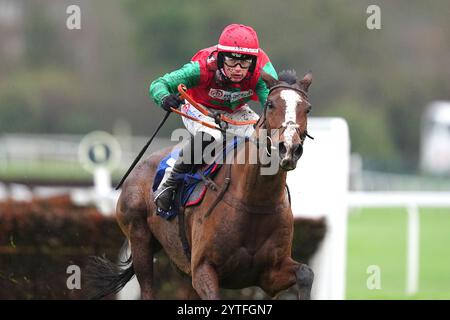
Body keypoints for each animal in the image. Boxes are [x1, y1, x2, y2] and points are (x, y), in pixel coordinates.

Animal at [86, 70, 314, 300]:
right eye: (271, 104)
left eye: (307, 108)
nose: (289, 148)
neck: (255, 199)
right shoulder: (203, 268)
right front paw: (168, 100)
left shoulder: (270, 274)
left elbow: (306, 272)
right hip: (139, 237)